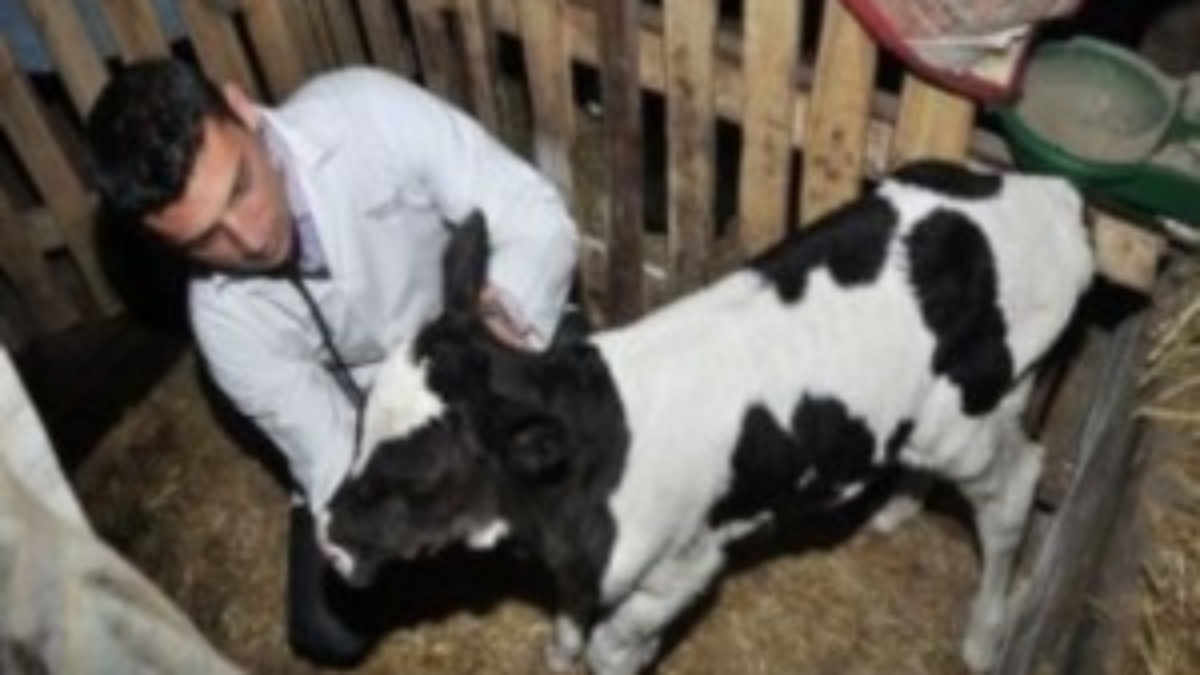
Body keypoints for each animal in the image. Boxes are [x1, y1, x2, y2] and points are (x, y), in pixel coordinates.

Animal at [319, 160, 1095, 675]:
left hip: (970, 422)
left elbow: (612, 645)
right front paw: (558, 653)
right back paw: (897, 511)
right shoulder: (584, 561)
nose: (328, 538)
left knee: (1015, 490)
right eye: (358, 425)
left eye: (420, 476)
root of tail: (1055, 198)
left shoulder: (681, 568)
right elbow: (569, 616)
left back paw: (986, 637)